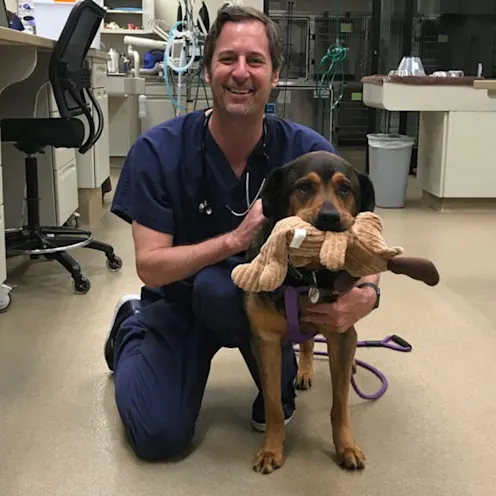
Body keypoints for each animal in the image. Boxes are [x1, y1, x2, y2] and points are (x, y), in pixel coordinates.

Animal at [241, 150, 376, 472]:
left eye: (345, 188)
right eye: (303, 187)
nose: (329, 217)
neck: (307, 276)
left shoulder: (341, 333)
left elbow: (340, 404)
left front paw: (346, 446)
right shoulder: (265, 341)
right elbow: (274, 405)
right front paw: (271, 449)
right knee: (306, 340)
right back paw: (304, 369)